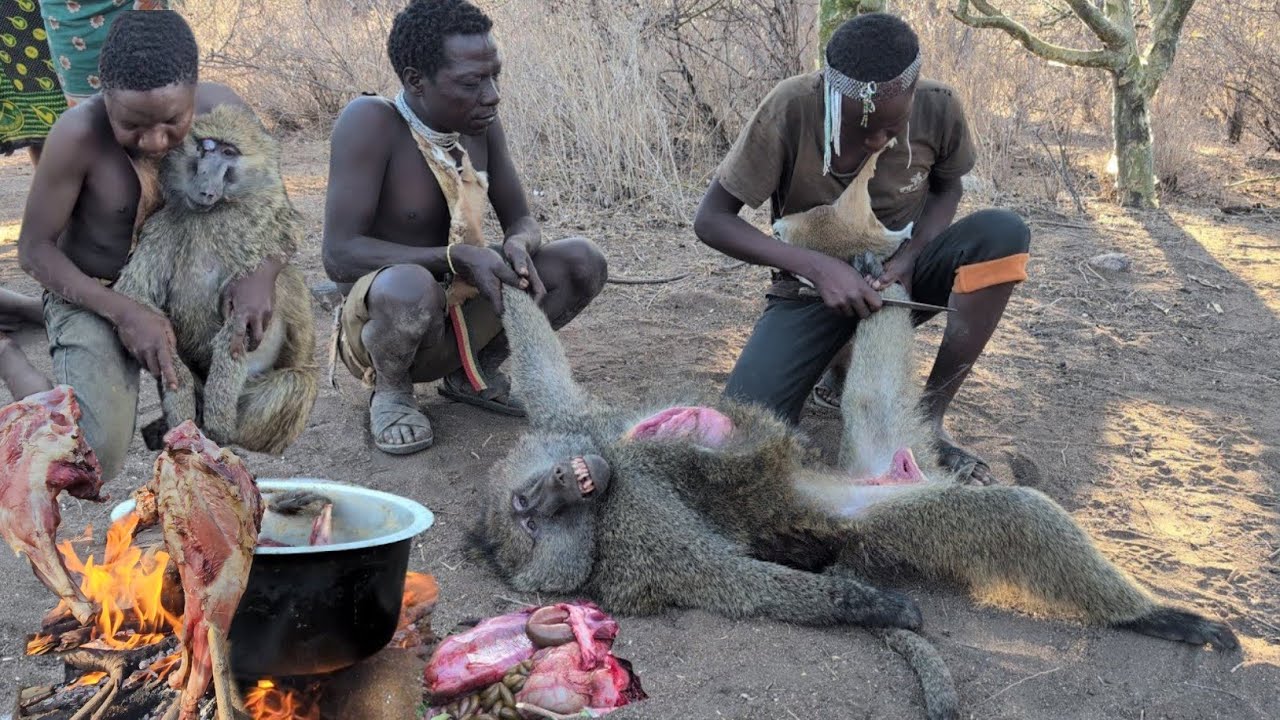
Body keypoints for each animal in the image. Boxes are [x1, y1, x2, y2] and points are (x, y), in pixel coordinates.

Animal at [113, 104, 318, 456]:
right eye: (204, 148)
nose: (204, 188)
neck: (215, 213)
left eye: (228, 153)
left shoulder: (256, 231)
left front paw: (217, 421)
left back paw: (225, 435)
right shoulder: (162, 226)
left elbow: (241, 319)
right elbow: (136, 295)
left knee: (296, 380)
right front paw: (178, 399)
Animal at [471, 283, 1238, 720]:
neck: (613, 474)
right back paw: (1159, 617)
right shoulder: (638, 530)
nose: (567, 482)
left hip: (884, 434)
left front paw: (496, 258)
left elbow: (545, 372)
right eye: (535, 512)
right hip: (907, 517)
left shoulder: (580, 425)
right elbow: (731, 579)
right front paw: (875, 606)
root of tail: (903, 468)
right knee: (1015, 517)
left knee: (874, 371)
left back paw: (888, 276)